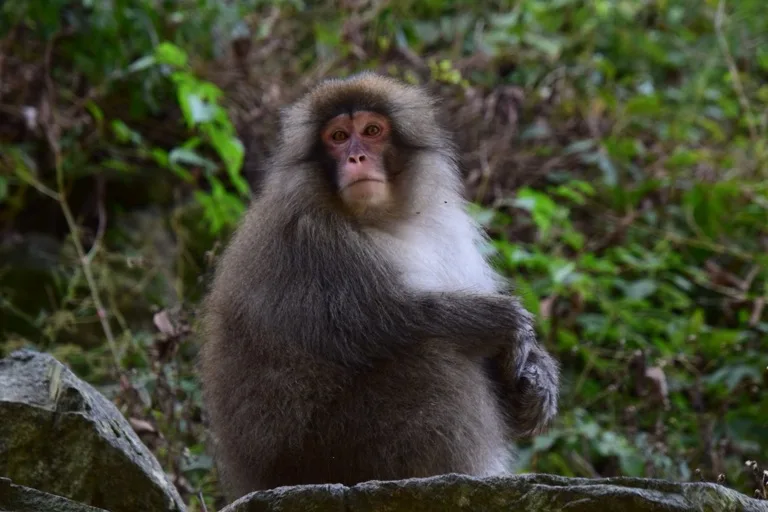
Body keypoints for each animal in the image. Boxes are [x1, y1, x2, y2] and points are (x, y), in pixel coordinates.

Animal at [199, 72, 560, 501]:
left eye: (372, 131)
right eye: (338, 137)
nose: (356, 158)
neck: (383, 217)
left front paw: (536, 378)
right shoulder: (310, 236)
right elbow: (367, 324)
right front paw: (501, 322)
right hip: (327, 452)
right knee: (432, 356)